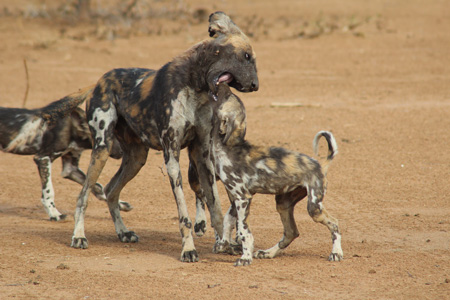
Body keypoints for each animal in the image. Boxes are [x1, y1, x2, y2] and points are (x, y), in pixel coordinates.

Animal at [0, 86, 130, 220]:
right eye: (111, 136)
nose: (123, 151)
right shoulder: (43, 158)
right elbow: (48, 191)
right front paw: (54, 213)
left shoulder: (70, 168)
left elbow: (98, 187)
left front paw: (119, 204)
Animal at [71, 11, 258, 262]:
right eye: (246, 56)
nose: (256, 85)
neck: (194, 85)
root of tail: (99, 81)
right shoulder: (172, 157)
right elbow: (184, 216)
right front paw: (188, 249)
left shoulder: (203, 157)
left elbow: (215, 207)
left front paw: (223, 244)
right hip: (102, 148)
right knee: (83, 195)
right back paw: (79, 236)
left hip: (136, 158)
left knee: (110, 190)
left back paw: (123, 232)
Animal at [204, 85, 342, 266]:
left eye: (227, 96)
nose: (225, 85)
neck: (225, 147)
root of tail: (320, 164)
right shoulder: (236, 198)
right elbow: (228, 221)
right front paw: (223, 243)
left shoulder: (243, 198)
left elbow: (244, 232)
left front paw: (245, 257)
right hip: (283, 203)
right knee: (291, 232)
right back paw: (268, 253)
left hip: (314, 207)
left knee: (334, 223)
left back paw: (336, 252)